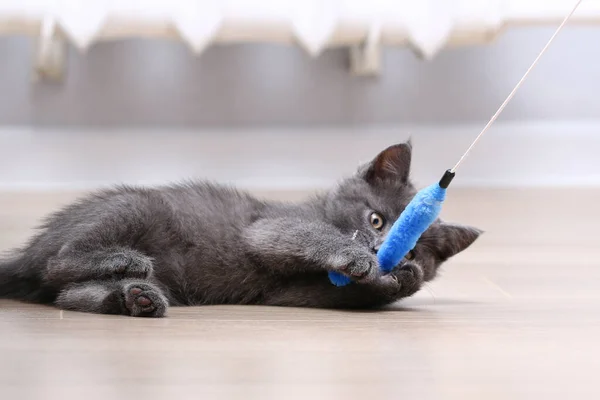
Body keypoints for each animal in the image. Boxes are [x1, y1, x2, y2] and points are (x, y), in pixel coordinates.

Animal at [0, 142, 480, 318]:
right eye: (376, 219)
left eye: (415, 249)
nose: (385, 249)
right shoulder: (270, 227)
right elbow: (304, 238)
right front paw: (361, 260)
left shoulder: (291, 293)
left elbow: (333, 294)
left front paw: (404, 278)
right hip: (134, 205)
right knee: (58, 264)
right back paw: (124, 263)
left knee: (64, 294)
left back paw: (133, 297)